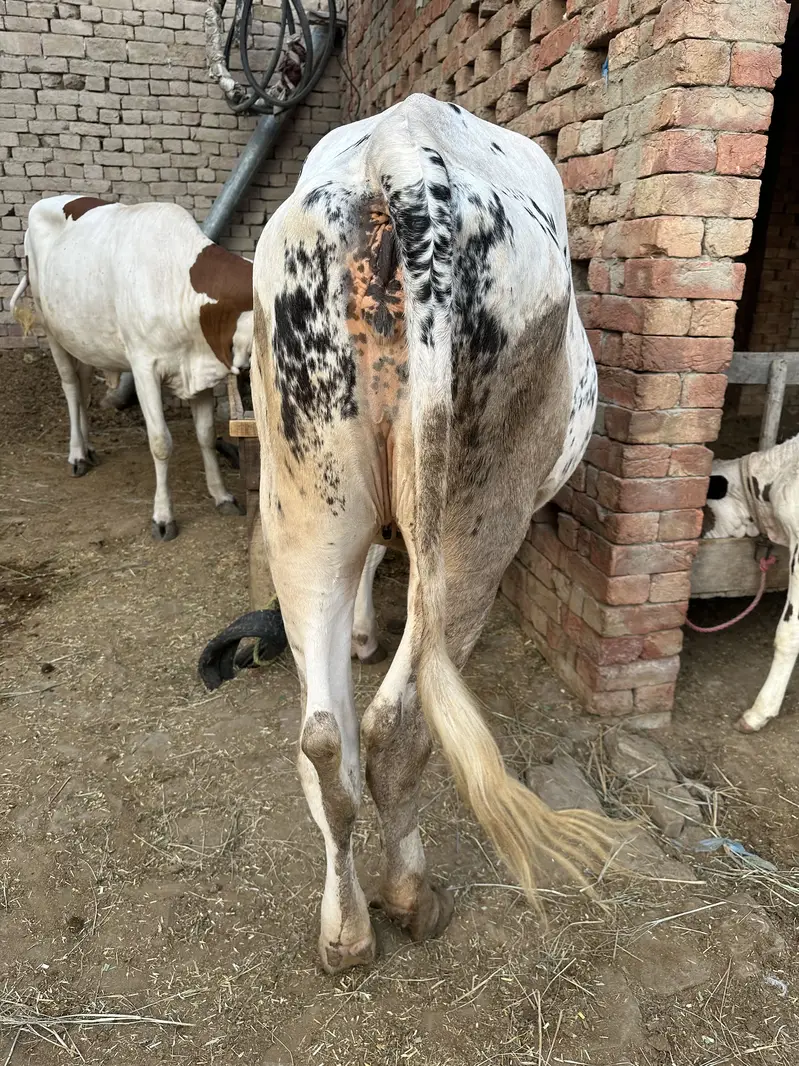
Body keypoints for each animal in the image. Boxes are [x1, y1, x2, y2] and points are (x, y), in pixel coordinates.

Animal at [10, 195, 252, 540]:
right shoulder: (143, 367)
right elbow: (161, 442)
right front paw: (163, 517)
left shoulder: (196, 371)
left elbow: (206, 435)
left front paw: (222, 496)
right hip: (51, 326)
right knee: (70, 387)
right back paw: (77, 453)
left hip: (85, 337)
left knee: (83, 385)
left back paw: (89, 446)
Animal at [202, 95, 617, 973]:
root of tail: (401, 153)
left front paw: (364, 633)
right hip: (474, 525)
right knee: (396, 729)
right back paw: (411, 897)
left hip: (304, 501)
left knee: (325, 741)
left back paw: (346, 934)